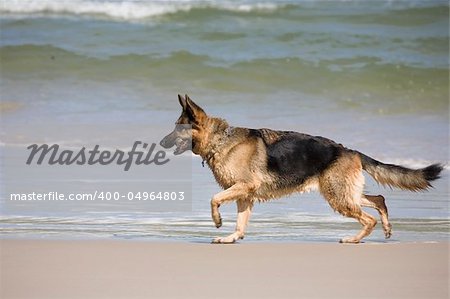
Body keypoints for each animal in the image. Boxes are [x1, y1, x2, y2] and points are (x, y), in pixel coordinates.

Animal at [161, 95, 442, 244]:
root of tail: (350, 151)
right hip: (343, 194)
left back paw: (354, 239)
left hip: (338, 197)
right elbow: (240, 224)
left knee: (369, 216)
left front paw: (218, 222)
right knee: (379, 200)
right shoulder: (245, 196)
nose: (161, 143)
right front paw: (231, 238)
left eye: (176, 128)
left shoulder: (243, 188)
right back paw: (386, 228)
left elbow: (214, 199)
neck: (220, 140)